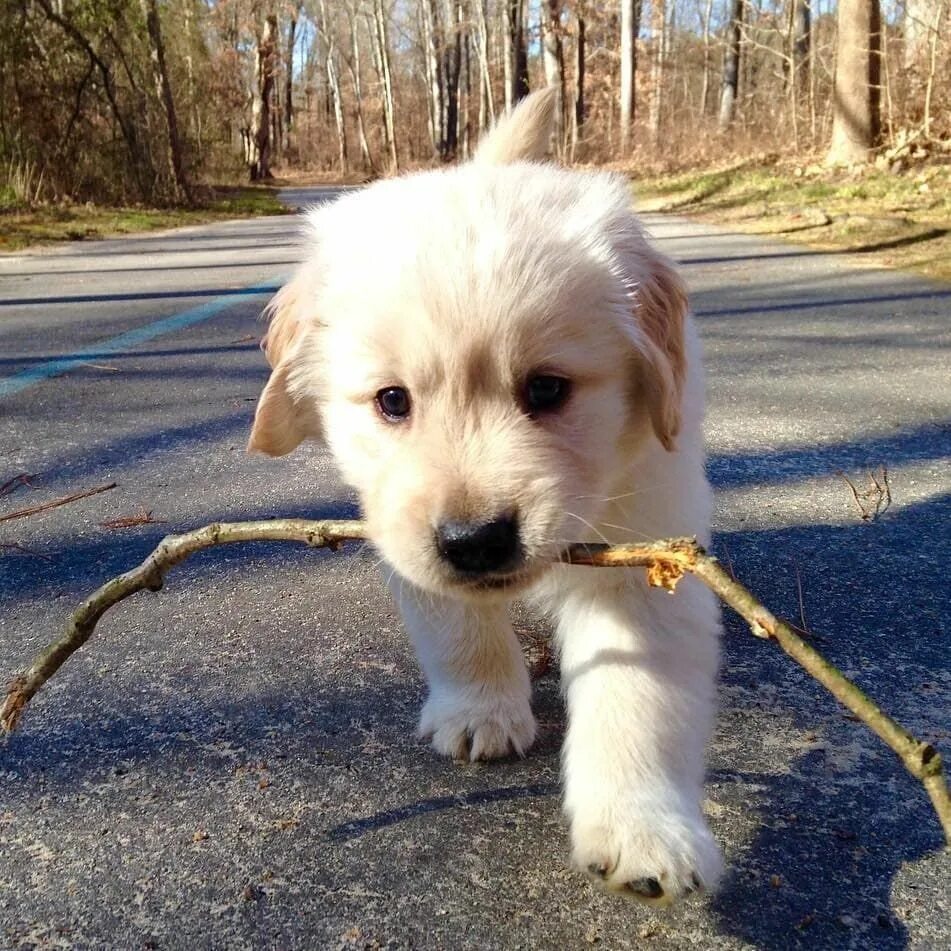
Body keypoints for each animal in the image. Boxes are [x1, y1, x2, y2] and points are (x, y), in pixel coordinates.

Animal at [249, 89, 724, 908]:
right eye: (392, 401)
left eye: (548, 389)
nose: (475, 540)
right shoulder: (402, 527)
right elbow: (454, 619)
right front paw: (480, 708)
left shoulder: (645, 552)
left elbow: (638, 696)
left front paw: (643, 828)